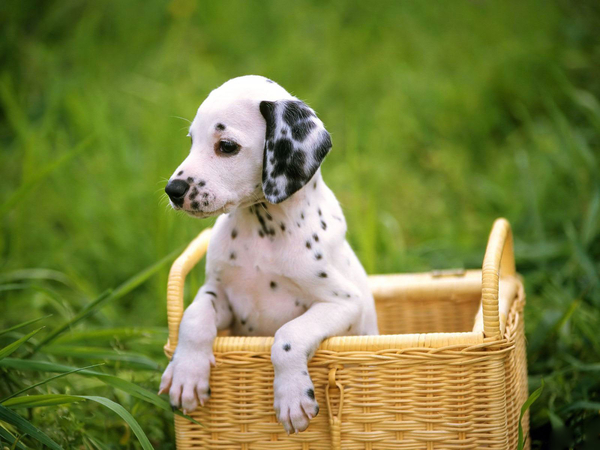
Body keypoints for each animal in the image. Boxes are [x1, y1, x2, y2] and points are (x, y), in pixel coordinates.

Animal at [157, 75, 378, 434]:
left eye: (227, 146)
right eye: (192, 141)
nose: (173, 191)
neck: (262, 231)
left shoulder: (343, 303)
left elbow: (287, 335)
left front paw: (292, 397)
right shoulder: (222, 295)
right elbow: (193, 316)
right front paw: (186, 374)